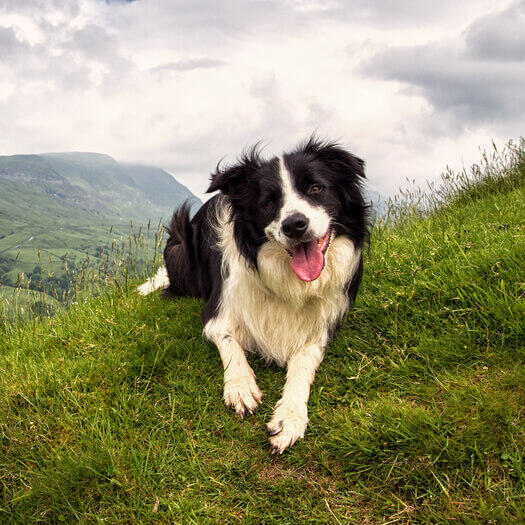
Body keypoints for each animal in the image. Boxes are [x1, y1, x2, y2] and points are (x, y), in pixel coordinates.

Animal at [137, 137, 366, 452]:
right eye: (268, 202)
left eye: (316, 188)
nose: (294, 225)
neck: (288, 281)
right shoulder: (218, 313)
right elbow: (230, 344)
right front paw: (241, 386)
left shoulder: (322, 327)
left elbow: (303, 364)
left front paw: (290, 416)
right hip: (179, 246)